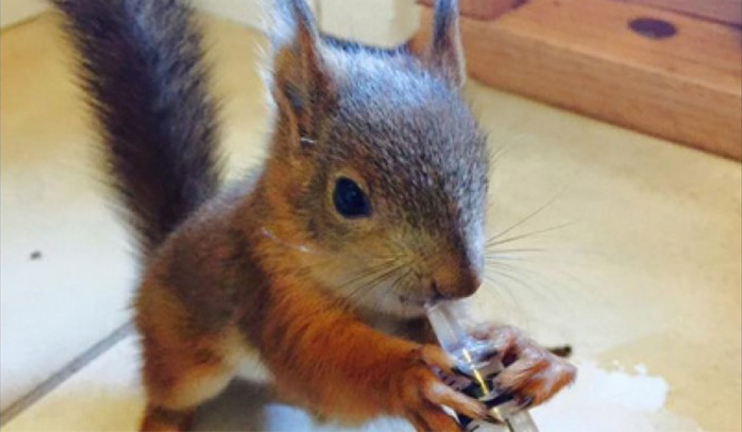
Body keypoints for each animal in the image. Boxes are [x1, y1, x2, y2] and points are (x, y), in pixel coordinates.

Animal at [53, 0, 576, 430]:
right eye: (347, 197)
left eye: (484, 173)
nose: (460, 284)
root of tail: (163, 248)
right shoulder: (269, 292)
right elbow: (319, 359)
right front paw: (410, 378)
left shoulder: (416, 315)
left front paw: (530, 356)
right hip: (182, 358)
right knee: (168, 397)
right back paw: (164, 423)